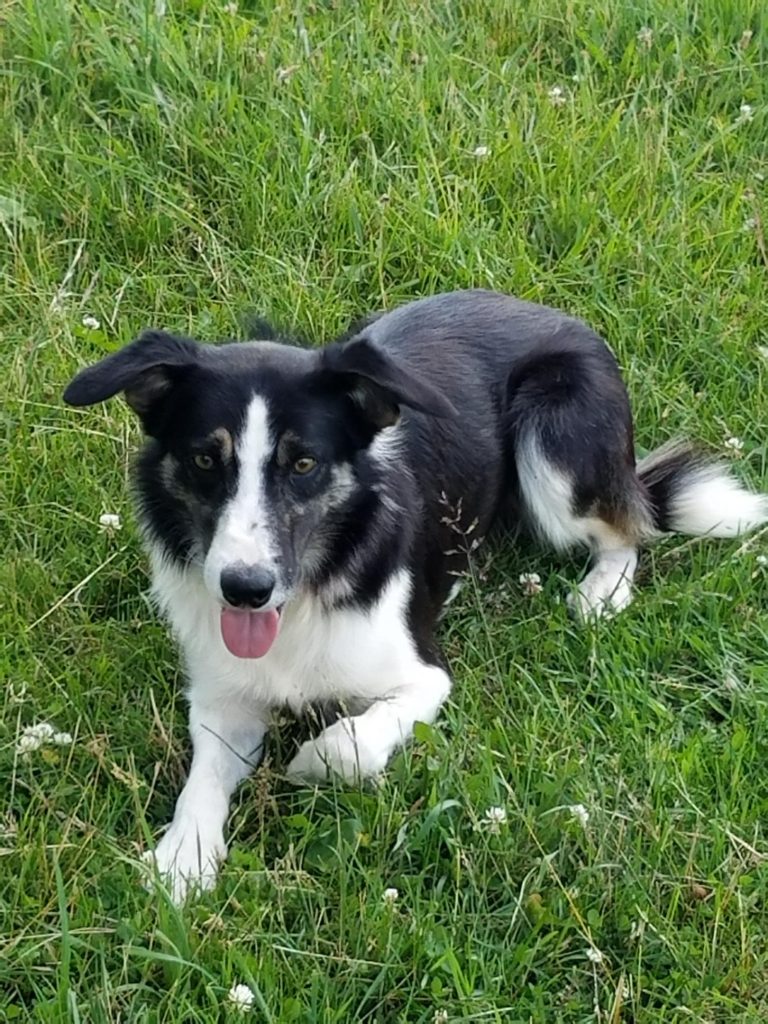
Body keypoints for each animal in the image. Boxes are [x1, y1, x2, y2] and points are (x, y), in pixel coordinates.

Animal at [64, 288, 768, 897]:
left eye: (303, 464)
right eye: (206, 460)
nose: (245, 590)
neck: (309, 593)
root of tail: (553, 313)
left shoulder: (424, 678)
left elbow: (347, 746)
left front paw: (307, 764)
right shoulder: (222, 698)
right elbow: (202, 781)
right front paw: (183, 860)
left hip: (557, 447)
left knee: (628, 529)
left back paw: (600, 593)